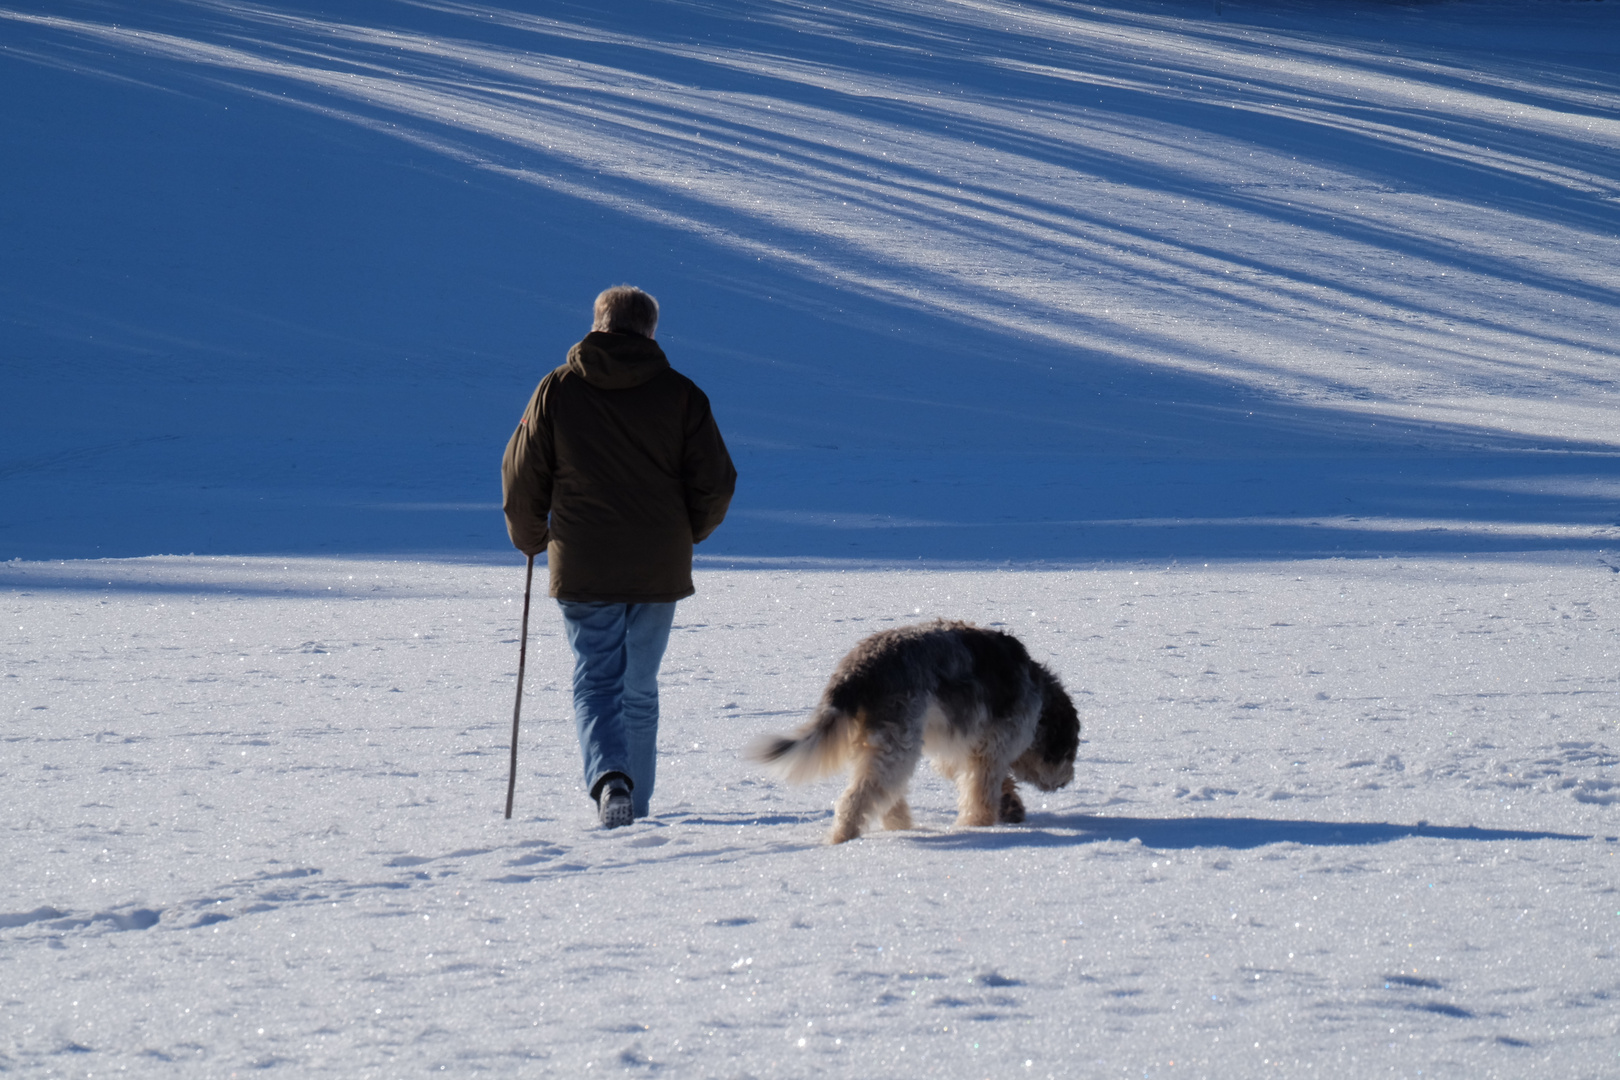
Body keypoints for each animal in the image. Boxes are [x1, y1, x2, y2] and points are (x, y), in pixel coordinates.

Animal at [748, 625, 1082, 841]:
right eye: (1069, 750)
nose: (1068, 780)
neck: (1040, 697)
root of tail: (857, 669)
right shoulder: (992, 748)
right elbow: (981, 790)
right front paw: (979, 825)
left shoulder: (959, 748)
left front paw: (1010, 804)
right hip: (898, 744)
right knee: (857, 797)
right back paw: (844, 837)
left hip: (881, 743)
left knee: (881, 793)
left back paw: (900, 825)